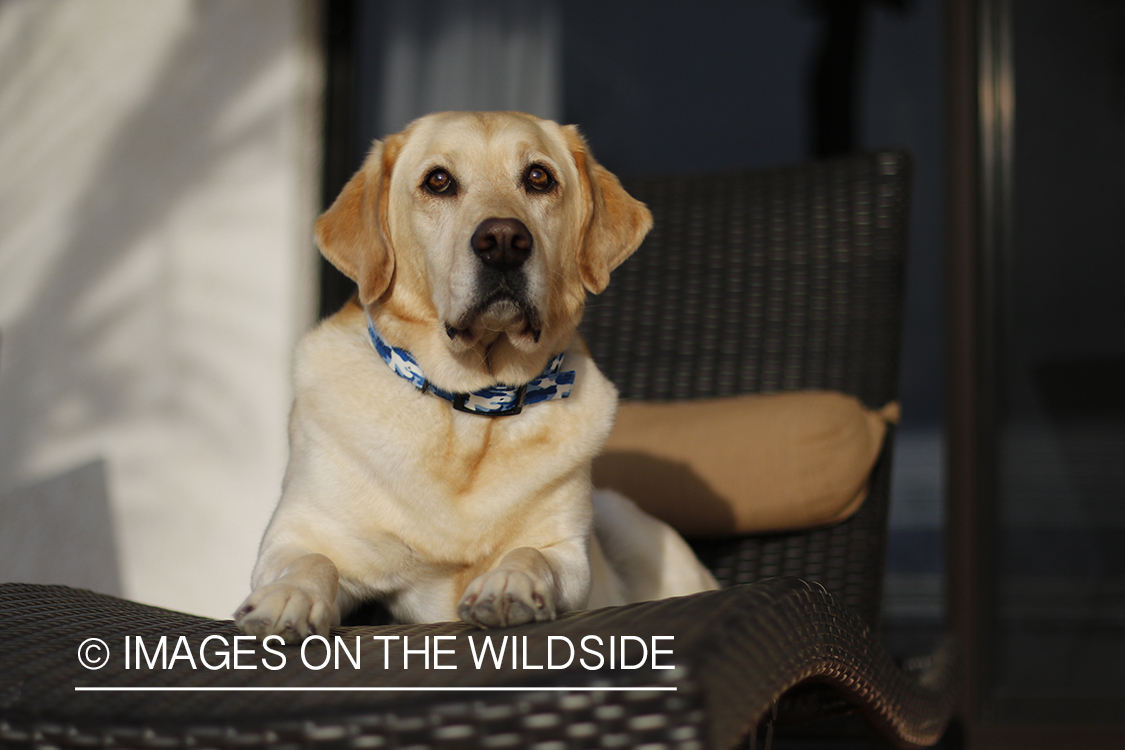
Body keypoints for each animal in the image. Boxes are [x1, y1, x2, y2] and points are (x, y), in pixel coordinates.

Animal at [234, 113, 715, 647]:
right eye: (438, 181)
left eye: (538, 177)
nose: (504, 241)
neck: (473, 404)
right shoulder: (301, 534)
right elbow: (312, 561)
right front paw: (288, 597)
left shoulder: (569, 554)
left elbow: (530, 553)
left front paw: (511, 582)